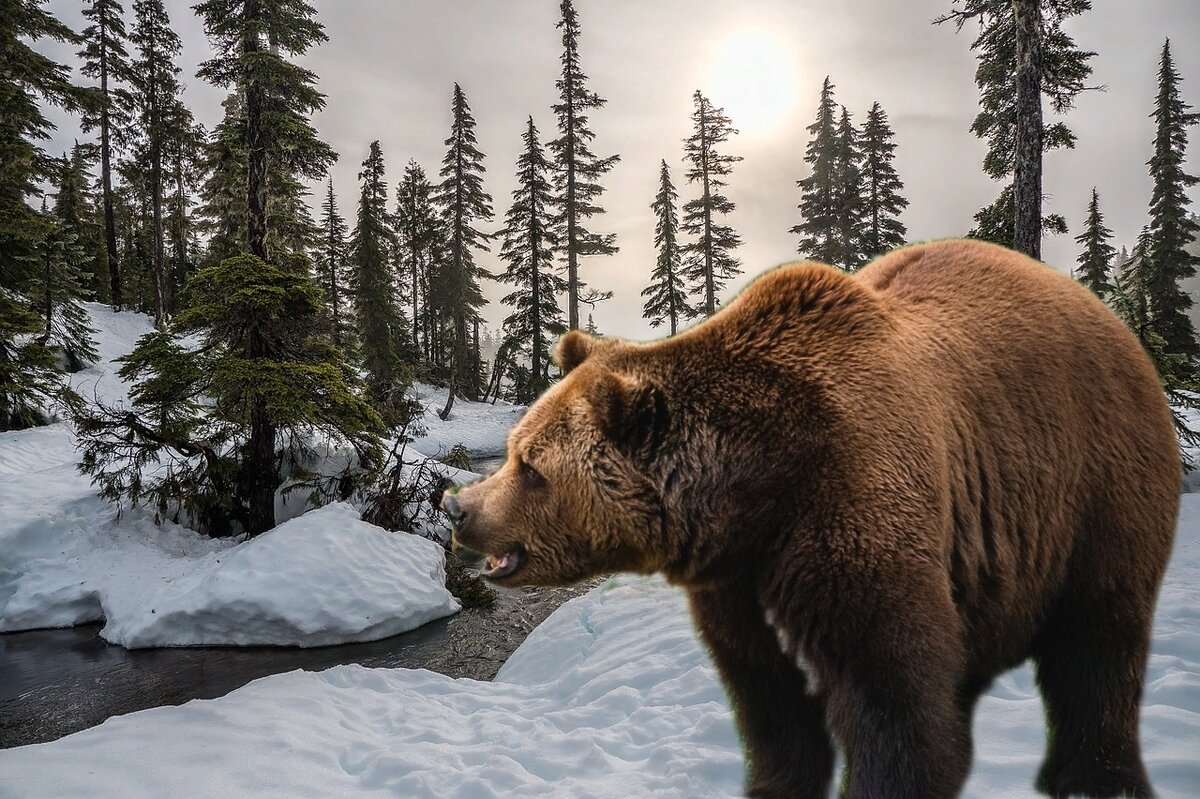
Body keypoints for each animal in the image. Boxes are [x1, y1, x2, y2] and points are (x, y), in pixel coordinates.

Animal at [444, 239, 1180, 796]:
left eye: (530, 466)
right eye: (513, 447)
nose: (457, 507)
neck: (758, 491)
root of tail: (1113, 320)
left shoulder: (854, 507)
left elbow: (892, 696)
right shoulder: (738, 582)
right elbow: (769, 701)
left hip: (1094, 485)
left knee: (1098, 641)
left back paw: (1094, 776)